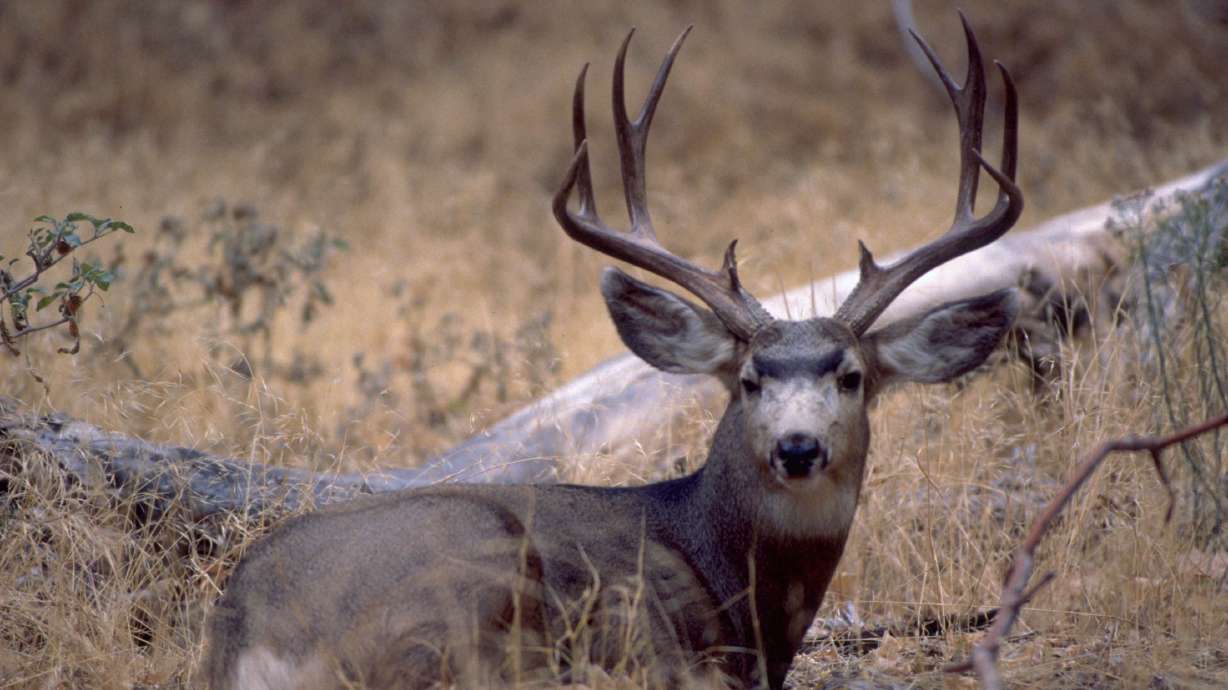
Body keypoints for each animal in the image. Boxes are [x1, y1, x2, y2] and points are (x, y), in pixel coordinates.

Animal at [203, 14, 1022, 690]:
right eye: (749, 380)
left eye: (850, 376)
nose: (796, 448)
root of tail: (250, 631)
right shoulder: (668, 646)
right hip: (469, 580)